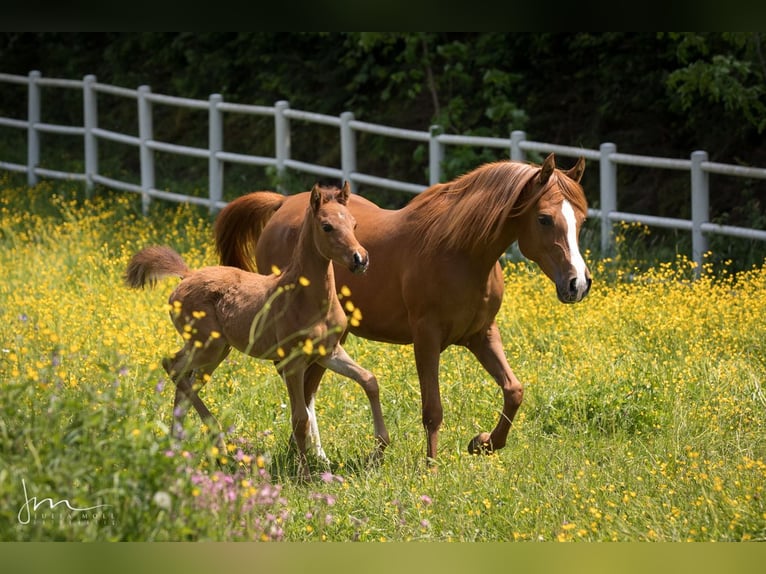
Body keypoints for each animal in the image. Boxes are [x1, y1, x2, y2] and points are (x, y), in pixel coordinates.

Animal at [125, 182, 390, 480]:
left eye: (354, 224)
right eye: (327, 226)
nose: (360, 259)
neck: (306, 298)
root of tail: (187, 275)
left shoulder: (328, 352)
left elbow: (369, 380)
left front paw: (380, 448)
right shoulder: (292, 361)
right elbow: (300, 418)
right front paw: (304, 474)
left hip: (217, 351)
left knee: (185, 378)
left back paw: (177, 443)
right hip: (207, 347)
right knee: (171, 365)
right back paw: (214, 437)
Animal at [214, 154, 591, 463]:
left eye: (582, 220)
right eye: (544, 219)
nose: (578, 283)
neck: (462, 252)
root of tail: (281, 206)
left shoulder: (482, 334)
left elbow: (513, 391)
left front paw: (482, 443)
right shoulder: (426, 338)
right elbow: (433, 408)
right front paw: (432, 467)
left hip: (331, 340)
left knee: (308, 389)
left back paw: (309, 453)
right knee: (300, 390)